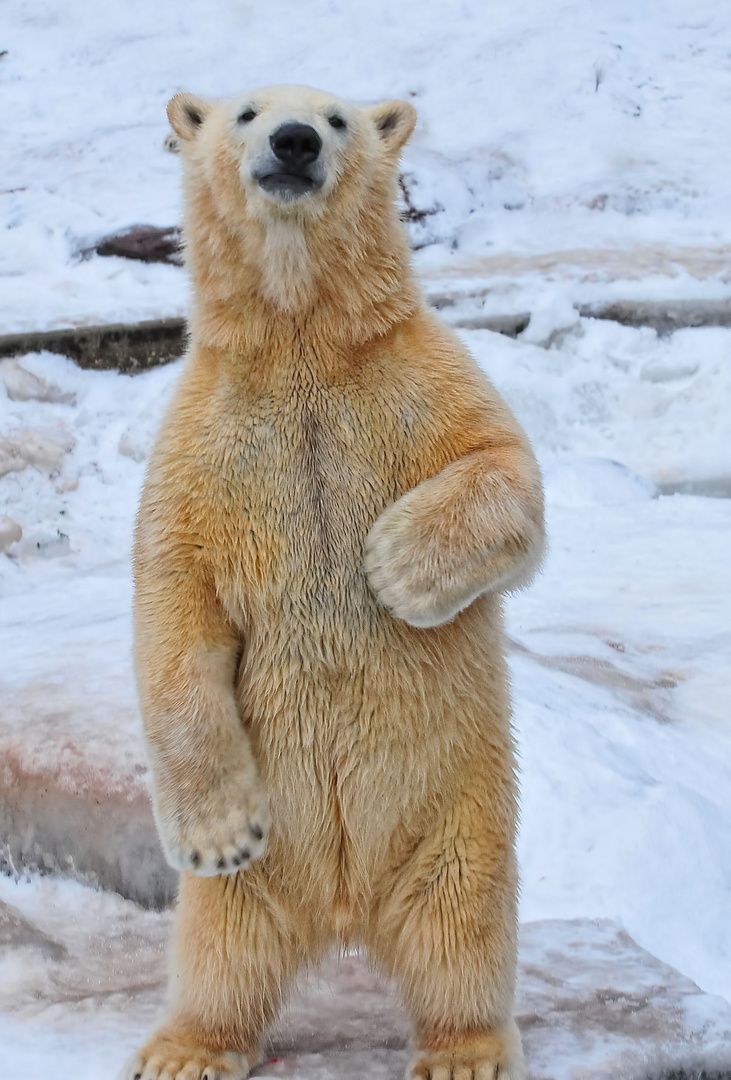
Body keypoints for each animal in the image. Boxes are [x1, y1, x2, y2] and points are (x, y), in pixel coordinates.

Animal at [126, 84, 542, 1080]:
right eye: (244, 112)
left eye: (340, 119)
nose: (293, 141)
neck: (299, 338)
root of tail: (347, 913)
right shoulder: (203, 440)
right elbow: (174, 601)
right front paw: (218, 833)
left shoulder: (418, 374)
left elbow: (501, 465)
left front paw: (391, 566)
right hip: (269, 872)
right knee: (222, 941)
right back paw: (185, 1046)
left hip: (456, 811)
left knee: (459, 925)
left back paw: (463, 1047)